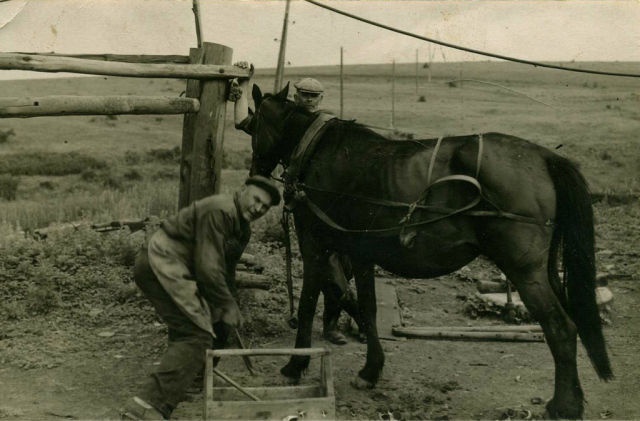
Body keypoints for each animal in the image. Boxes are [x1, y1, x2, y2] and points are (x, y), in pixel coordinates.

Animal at [248, 83, 612, 418]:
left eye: (252, 125)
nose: (255, 177)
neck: (319, 151)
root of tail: (544, 157)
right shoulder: (360, 252)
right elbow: (368, 308)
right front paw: (371, 370)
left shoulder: (315, 246)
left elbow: (307, 304)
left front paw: (294, 367)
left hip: (525, 271)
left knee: (561, 327)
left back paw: (564, 406)